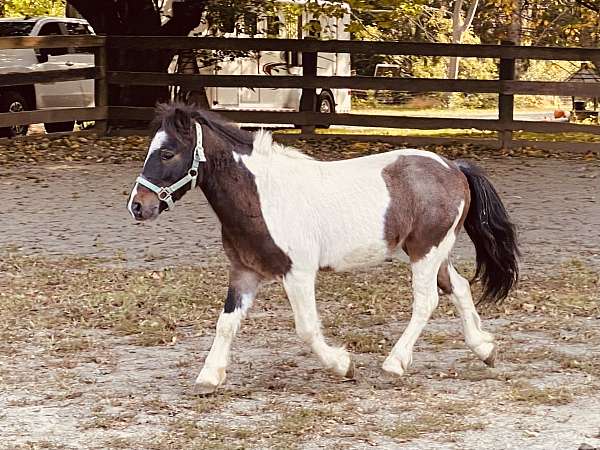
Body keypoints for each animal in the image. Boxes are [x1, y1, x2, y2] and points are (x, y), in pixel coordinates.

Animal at [127, 105, 520, 394]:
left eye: (167, 153)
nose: (138, 206)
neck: (263, 196)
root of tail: (454, 167)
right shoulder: (245, 272)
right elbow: (226, 323)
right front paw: (209, 378)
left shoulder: (297, 273)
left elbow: (306, 328)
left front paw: (343, 366)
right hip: (431, 252)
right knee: (460, 287)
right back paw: (485, 349)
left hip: (426, 251)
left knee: (427, 302)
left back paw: (394, 364)